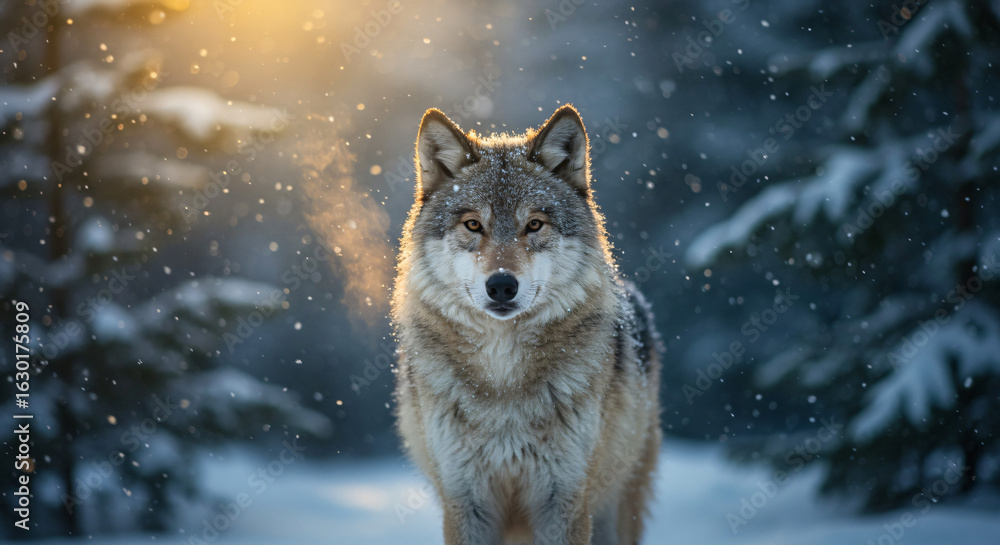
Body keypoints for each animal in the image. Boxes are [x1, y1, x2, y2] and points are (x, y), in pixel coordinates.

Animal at [392, 105, 663, 545]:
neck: (503, 378)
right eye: (473, 225)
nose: (502, 285)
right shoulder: (465, 501)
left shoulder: (564, 500)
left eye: (534, 225)